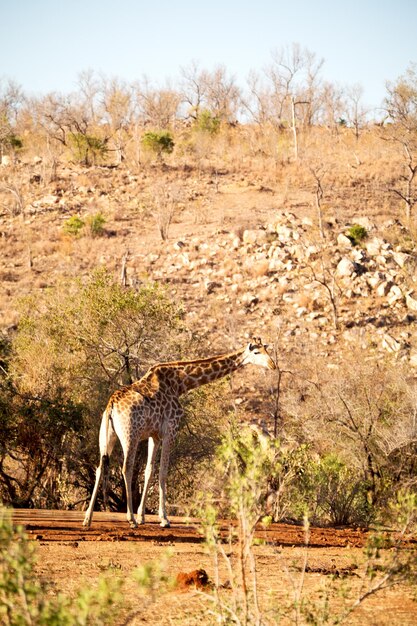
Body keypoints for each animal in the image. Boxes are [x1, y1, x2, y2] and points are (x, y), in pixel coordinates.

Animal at [82, 336, 274, 528]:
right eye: (256, 352)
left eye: (267, 350)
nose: (272, 365)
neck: (180, 384)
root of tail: (111, 405)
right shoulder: (170, 431)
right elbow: (163, 471)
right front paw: (163, 519)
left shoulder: (154, 435)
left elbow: (149, 470)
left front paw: (143, 516)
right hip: (131, 435)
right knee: (126, 468)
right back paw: (130, 519)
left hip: (107, 436)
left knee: (100, 467)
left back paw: (88, 518)